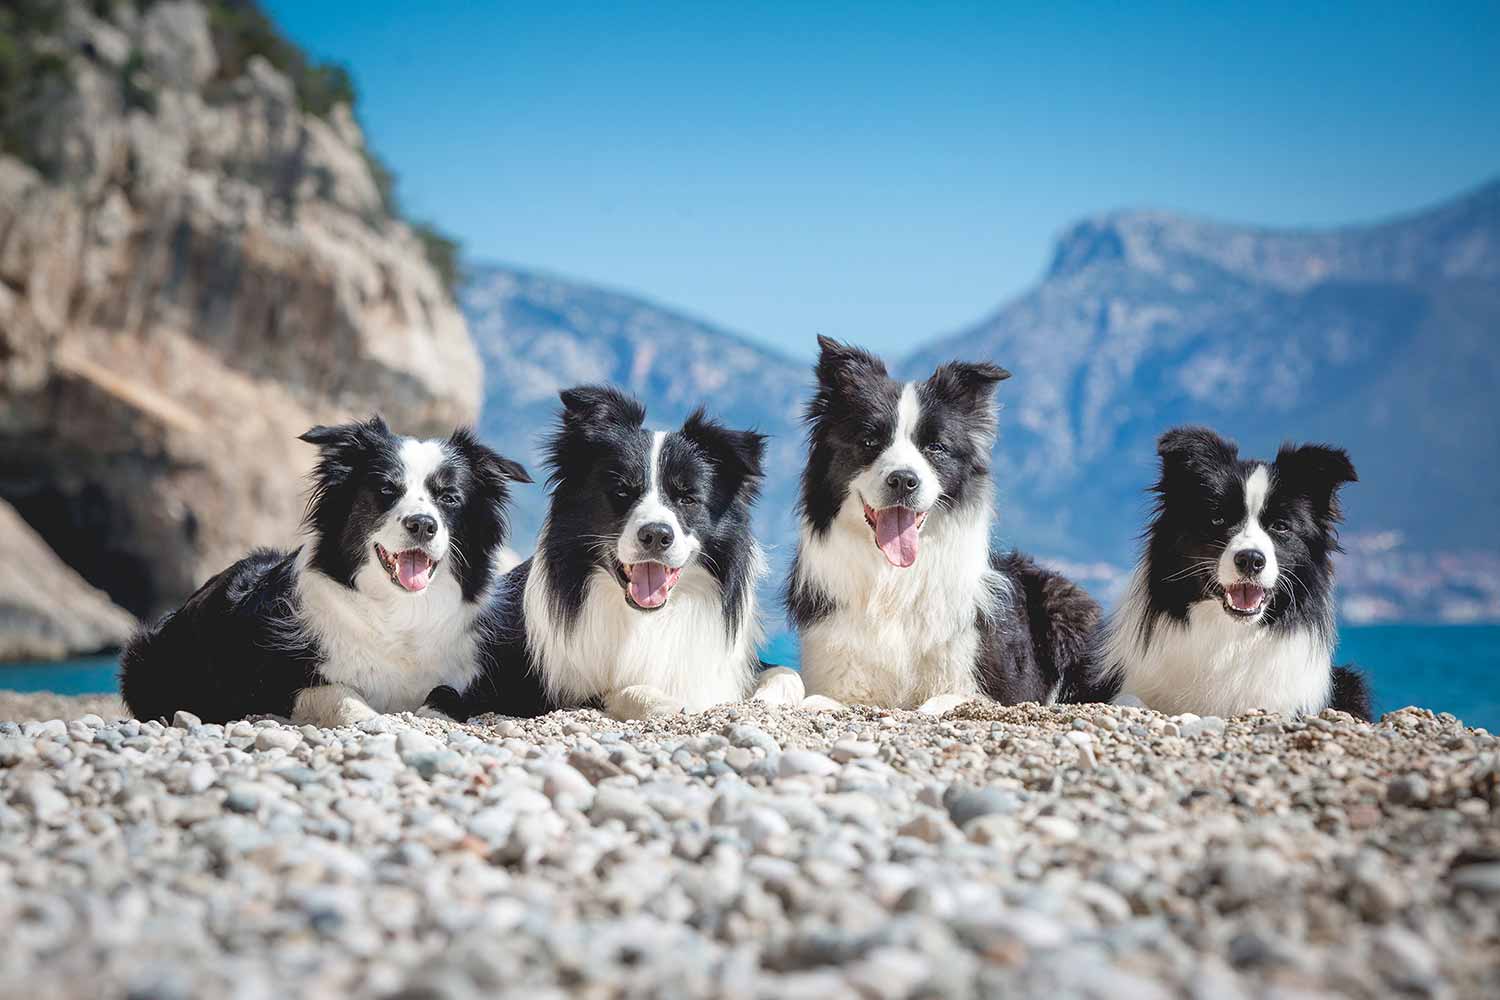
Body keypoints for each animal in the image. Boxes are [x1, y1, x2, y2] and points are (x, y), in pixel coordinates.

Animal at [123, 416, 534, 728]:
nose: (422, 524)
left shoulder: (468, 677)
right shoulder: (269, 682)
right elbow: (337, 692)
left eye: (449, 497)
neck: (397, 613)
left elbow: (447, 693)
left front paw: (433, 713)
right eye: (386, 490)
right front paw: (373, 718)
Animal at [423, 383, 774, 719]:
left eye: (688, 498)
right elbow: (613, 691)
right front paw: (661, 702)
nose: (656, 535)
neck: (641, 619)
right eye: (621, 492)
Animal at [774, 340, 1104, 716]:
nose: (903, 480)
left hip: (1065, 601)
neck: (895, 580)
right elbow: (815, 697)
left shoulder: (987, 684)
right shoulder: (839, 676)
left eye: (935, 447)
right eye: (869, 441)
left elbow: (939, 702)